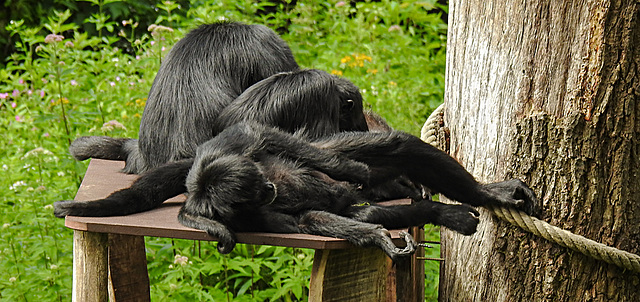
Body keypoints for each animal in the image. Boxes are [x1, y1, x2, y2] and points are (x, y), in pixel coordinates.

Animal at [55, 121, 540, 260]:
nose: (269, 187)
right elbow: (306, 219)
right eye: (253, 195)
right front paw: (380, 237)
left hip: (332, 141)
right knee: (355, 208)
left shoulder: (230, 147)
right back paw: (442, 214)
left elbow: (261, 134)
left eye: (258, 182)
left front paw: (349, 170)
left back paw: (487, 195)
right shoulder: (249, 210)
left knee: (390, 147)